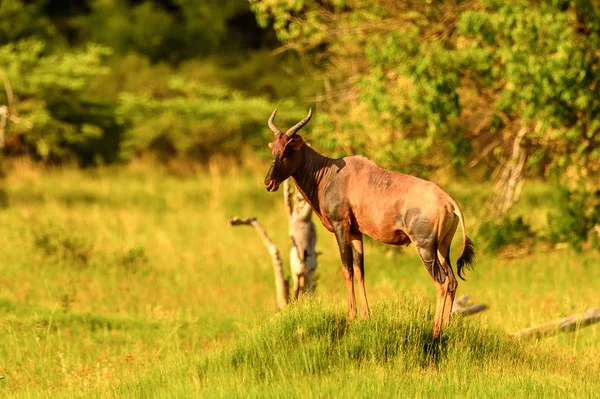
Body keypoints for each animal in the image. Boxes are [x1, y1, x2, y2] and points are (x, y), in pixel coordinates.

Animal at [264, 108, 476, 338]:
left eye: (287, 149)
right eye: (273, 148)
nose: (268, 183)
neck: (331, 173)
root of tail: (448, 200)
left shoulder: (340, 226)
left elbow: (347, 268)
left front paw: (350, 317)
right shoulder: (356, 232)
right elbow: (359, 270)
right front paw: (365, 316)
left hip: (425, 247)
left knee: (441, 281)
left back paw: (435, 330)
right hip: (442, 247)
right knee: (452, 281)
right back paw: (446, 327)